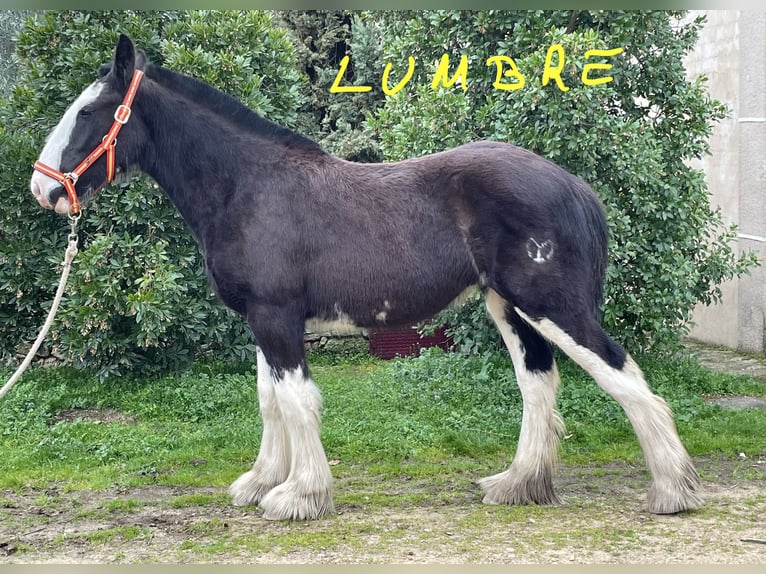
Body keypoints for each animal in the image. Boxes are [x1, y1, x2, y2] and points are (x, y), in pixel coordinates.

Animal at [29, 34, 702, 520]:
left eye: (88, 111)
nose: (43, 188)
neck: (247, 187)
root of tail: (574, 187)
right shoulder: (262, 319)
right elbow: (269, 400)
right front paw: (261, 482)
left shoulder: (276, 316)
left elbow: (296, 401)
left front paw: (299, 496)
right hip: (509, 308)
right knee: (539, 384)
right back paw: (518, 484)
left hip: (552, 305)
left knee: (627, 380)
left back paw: (673, 491)